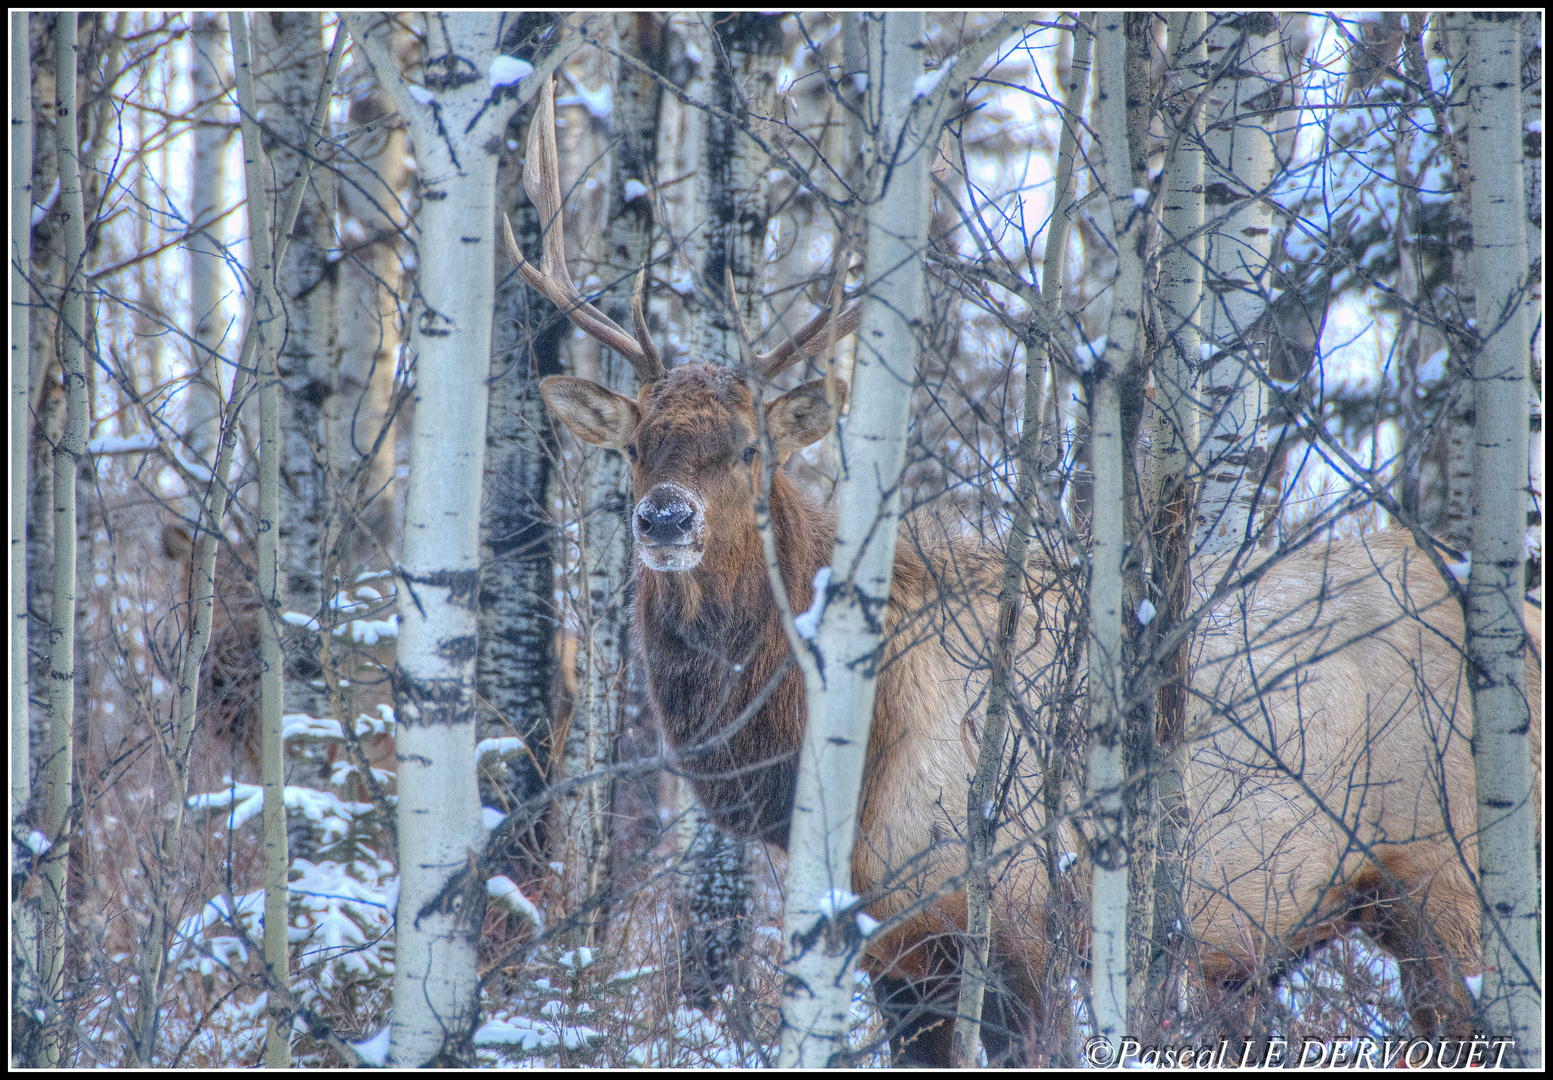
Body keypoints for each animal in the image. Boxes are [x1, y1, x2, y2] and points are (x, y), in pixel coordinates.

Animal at [506, 82, 1540, 1062]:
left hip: (1444, 872)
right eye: (637, 445)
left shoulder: (1011, 915)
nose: (663, 517)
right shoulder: (896, 947)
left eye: (748, 447)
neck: (828, 756)